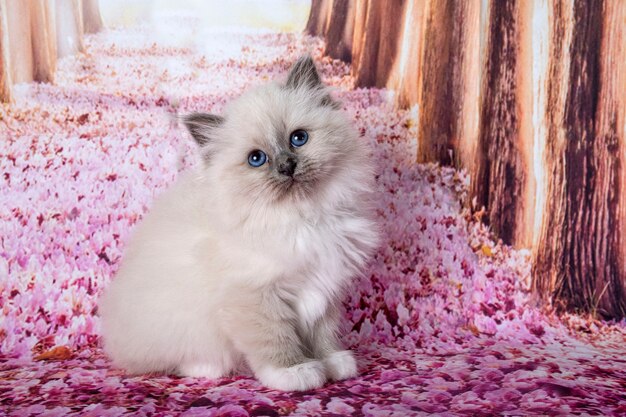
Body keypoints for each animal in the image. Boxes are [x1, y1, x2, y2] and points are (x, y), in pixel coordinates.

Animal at [100, 55, 378, 390]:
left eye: (298, 139)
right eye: (257, 159)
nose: (287, 166)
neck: (303, 217)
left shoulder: (325, 291)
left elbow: (322, 335)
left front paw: (332, 363)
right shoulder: (254, 296)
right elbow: (275, 339)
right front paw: (296, 372)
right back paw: (205, 368)